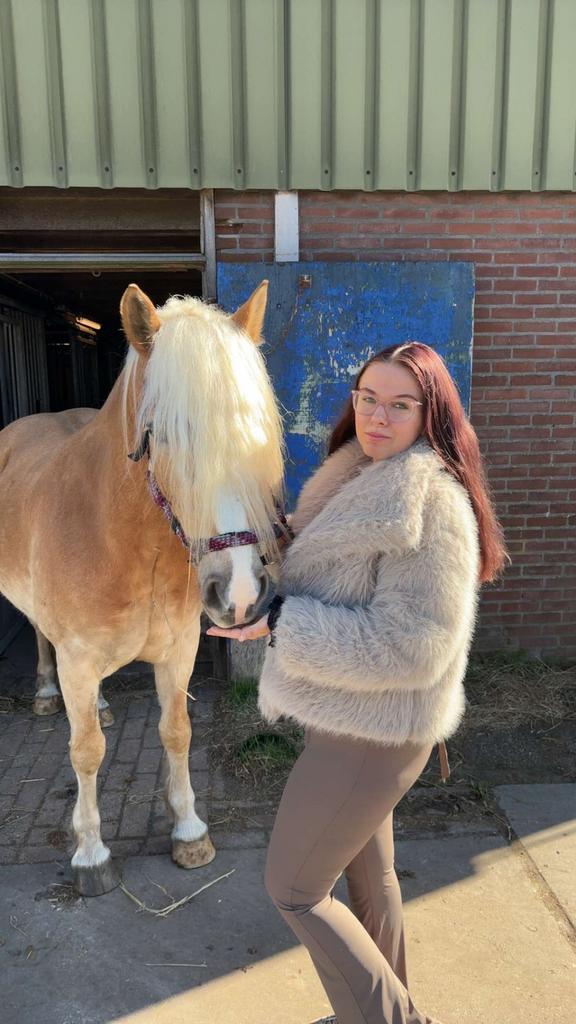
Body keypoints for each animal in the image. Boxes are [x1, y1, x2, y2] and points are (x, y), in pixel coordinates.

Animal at [0, 281, 286, 895]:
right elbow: (85, 751)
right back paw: (43, 693)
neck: (125, 540)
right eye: (166, 437)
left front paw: (189, 831)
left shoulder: (179, 651)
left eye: (257, 436)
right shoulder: (78, 660)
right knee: (40, 639)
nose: (241, 594)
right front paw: (90, 853)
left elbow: (176, 731)